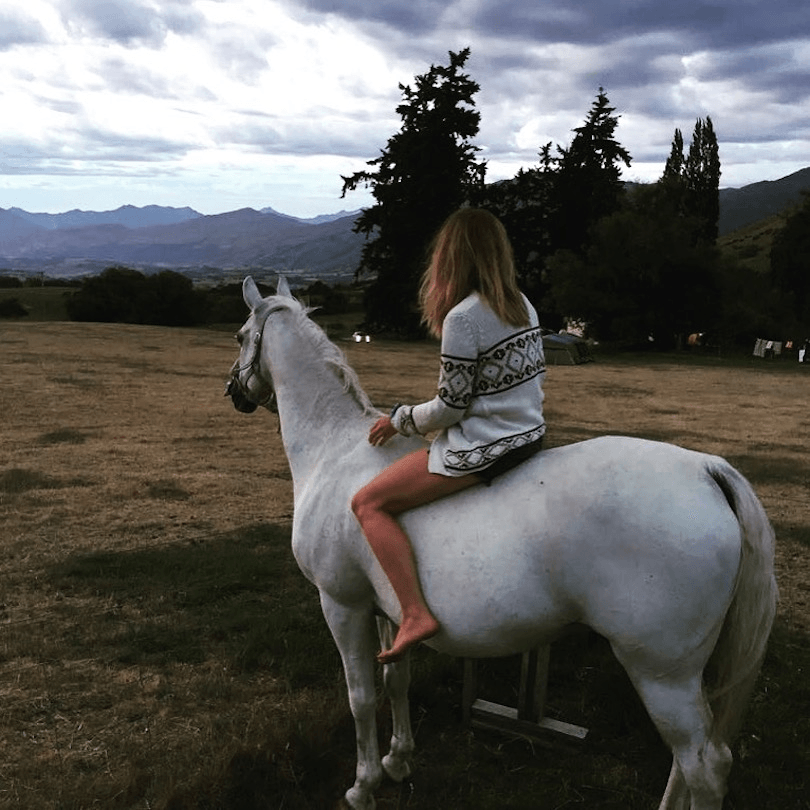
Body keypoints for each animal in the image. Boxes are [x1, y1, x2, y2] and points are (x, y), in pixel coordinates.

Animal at [224, 276, 772, 808]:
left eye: (240, 335)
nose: (233, 391)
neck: (335, 450)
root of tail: (707, 470)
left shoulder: (342, 605)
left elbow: (361, 697)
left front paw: (364, 785)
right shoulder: (384, 612)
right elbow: (395, 680)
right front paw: (398, 760)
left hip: (662, 675)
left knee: (704, 766)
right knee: (687, 764)